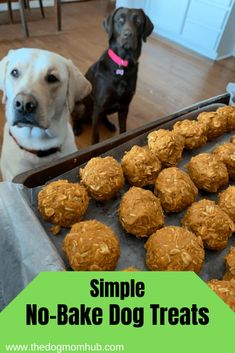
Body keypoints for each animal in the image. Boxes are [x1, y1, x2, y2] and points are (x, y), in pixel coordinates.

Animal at [73, 7, 154, 144]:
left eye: (138, 21)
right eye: (120, 20)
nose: (128, 34)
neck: (122, 64)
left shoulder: (124, 106)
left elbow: (123, 130)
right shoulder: (99, 106)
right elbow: (95, 135)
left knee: (104, 118)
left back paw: (109, 124)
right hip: (81, 107)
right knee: (75, 118)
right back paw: (77, 127)